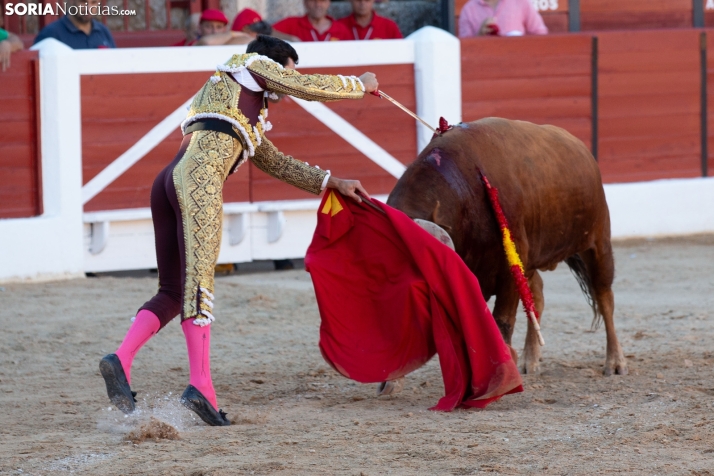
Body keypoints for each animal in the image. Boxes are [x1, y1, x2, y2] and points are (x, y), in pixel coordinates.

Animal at [386, 116, 624, 376]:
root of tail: (583, 150)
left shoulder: (509, 274)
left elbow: (502, 323)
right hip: (531, 260)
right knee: (537, 295)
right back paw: (530, 359)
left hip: (598, 243)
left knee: (605, 296)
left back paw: (615, 361)